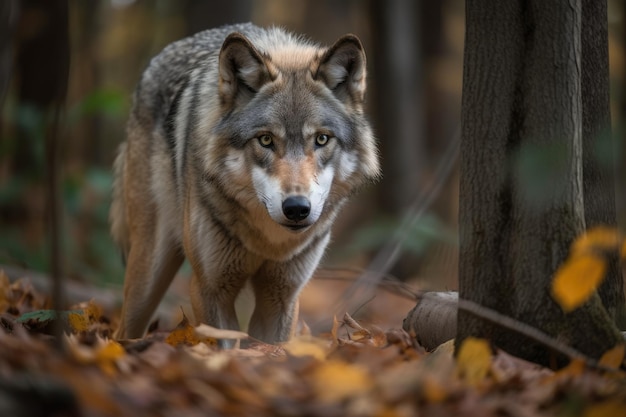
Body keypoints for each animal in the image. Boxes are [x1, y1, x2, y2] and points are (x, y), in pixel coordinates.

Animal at [109, 21, 378, 342]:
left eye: (322, 139)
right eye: (265, 140)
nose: (297, 208)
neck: (269, 242)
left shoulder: (281, 296)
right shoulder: (210, 290)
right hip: (147, 279)